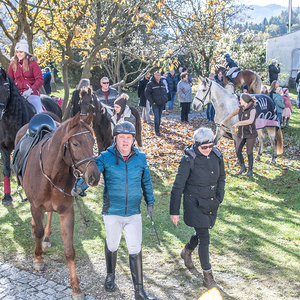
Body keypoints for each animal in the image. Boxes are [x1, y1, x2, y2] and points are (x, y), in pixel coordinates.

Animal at [15, 113, 100, 300]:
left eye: (93, 141)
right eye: (75, 143)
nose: (94, 177)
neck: (51, 172)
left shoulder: (67, 211)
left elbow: (69, 250)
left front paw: (76, 288)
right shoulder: (36, 206)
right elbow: (38, 230)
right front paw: (38, 259)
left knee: (49, 215)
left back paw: (46, 238)